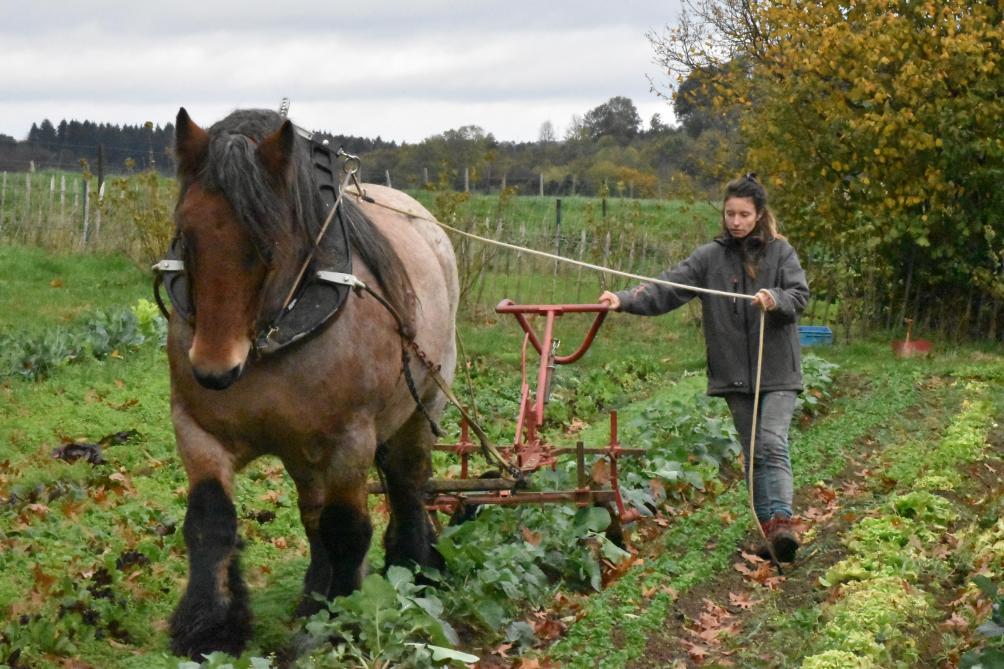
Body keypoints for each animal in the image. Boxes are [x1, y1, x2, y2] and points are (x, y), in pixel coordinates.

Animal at [165, 107, 459, 654]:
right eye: (186, 236)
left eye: (267, 244)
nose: (215, 371)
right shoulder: (196, 429)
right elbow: (210, 520)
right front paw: (209, 625)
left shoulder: (351, 440)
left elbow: (347, 528)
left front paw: (340, 622)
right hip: (302, 448)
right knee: (312, 510)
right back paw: (314, 592)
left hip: (422, 402)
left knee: (407, 481)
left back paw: (414, 565)